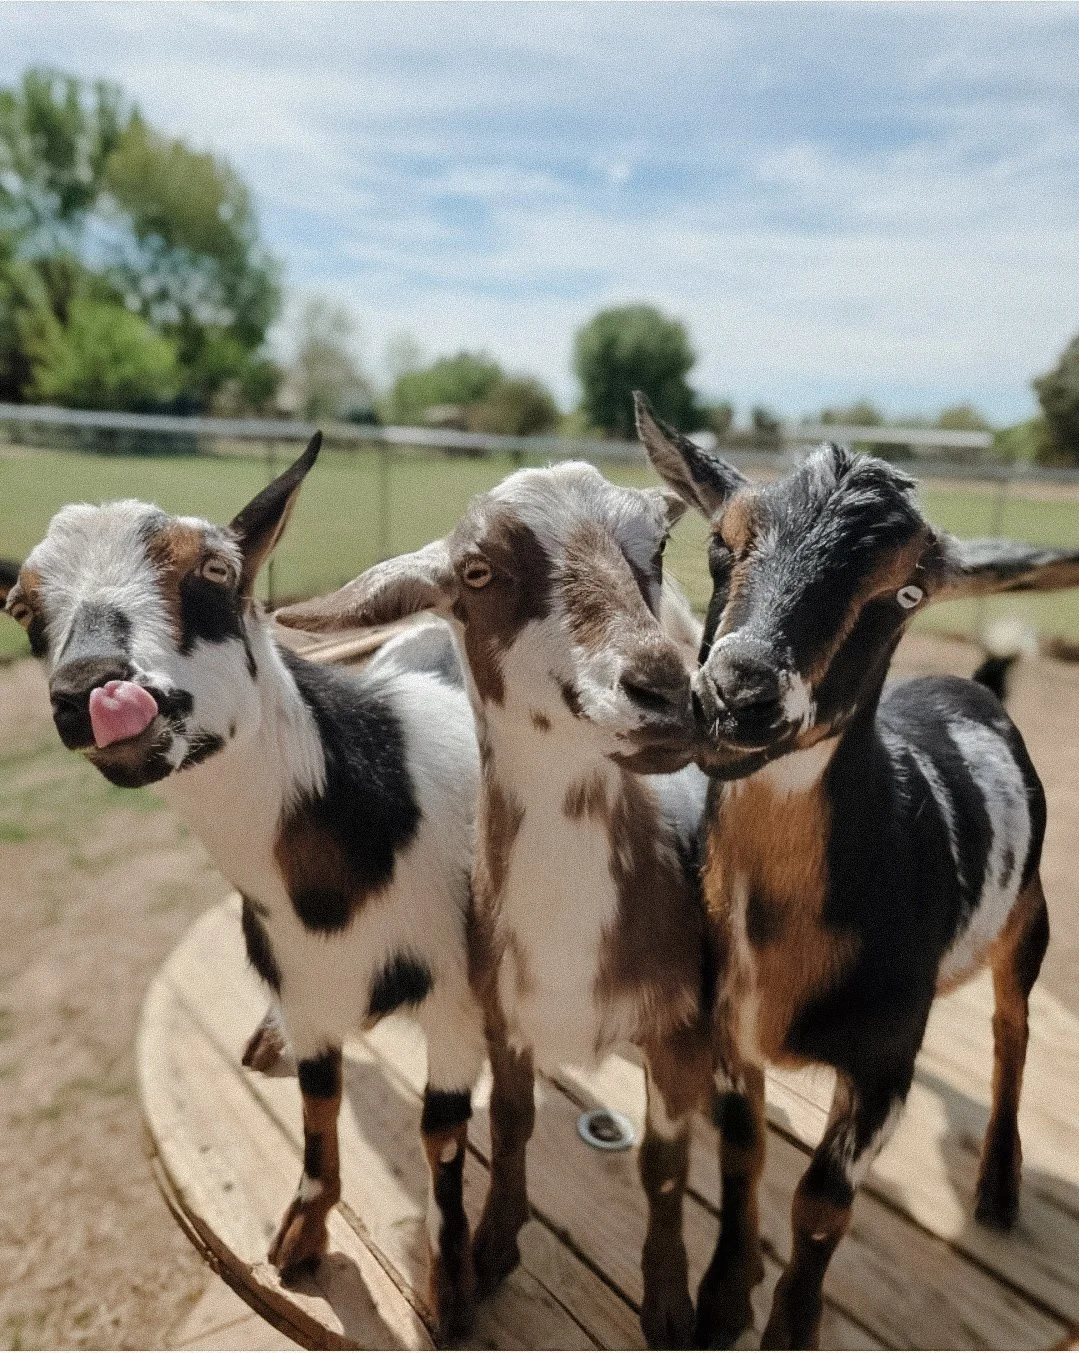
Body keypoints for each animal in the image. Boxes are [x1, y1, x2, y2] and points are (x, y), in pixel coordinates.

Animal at [1, 437, 487, 1340]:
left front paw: (451, 1284)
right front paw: (303, 1231)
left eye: (217, 569)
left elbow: (440, 1135)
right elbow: (319, 1107)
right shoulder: (304, 984)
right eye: (21, 607)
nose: (91, 688)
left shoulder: (457, 1001)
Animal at [278, 461, 716, 1347]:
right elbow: (511, 1126)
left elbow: (662, 1166)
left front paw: (668, 1305)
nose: (661, 689)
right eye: (477, 572)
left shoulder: (678, 1029)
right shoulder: (502, 1016)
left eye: (655, 545)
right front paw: (490, 1245)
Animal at [635, 394, 1079, 1348]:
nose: (737, 694)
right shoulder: (728, 1027)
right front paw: (722, 1296)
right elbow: (743, 1153)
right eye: (721, 545)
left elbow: (821, 1204)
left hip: (1029, 917)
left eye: (904, 590)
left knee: (1012, 1029)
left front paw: (789, 1325)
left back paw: (997, 1186)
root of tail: (971, 684)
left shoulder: (883, 1065)